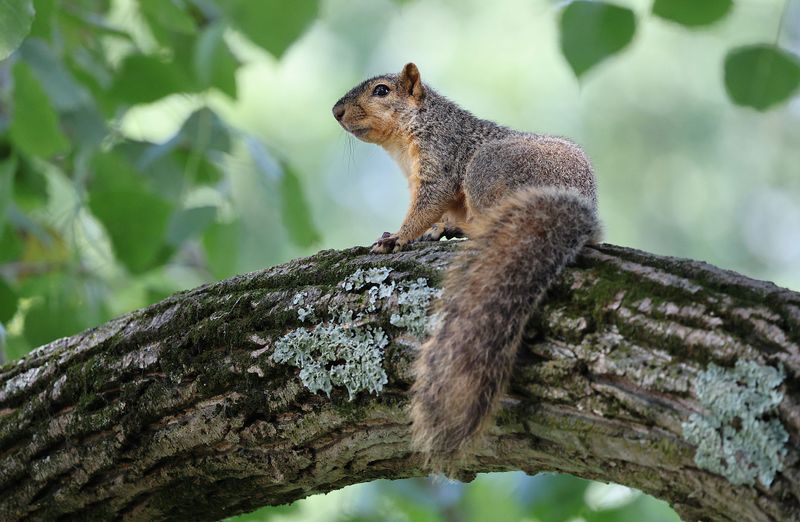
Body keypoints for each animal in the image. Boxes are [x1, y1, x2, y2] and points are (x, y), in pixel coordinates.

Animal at [332, 63, 601, 470]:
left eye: (381, 91)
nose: (336, 111)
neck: (404, 143)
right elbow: (438, 214)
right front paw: (435, 230)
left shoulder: (441, 158)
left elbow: (427, 205)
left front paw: (399, 237)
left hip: (487, 169)